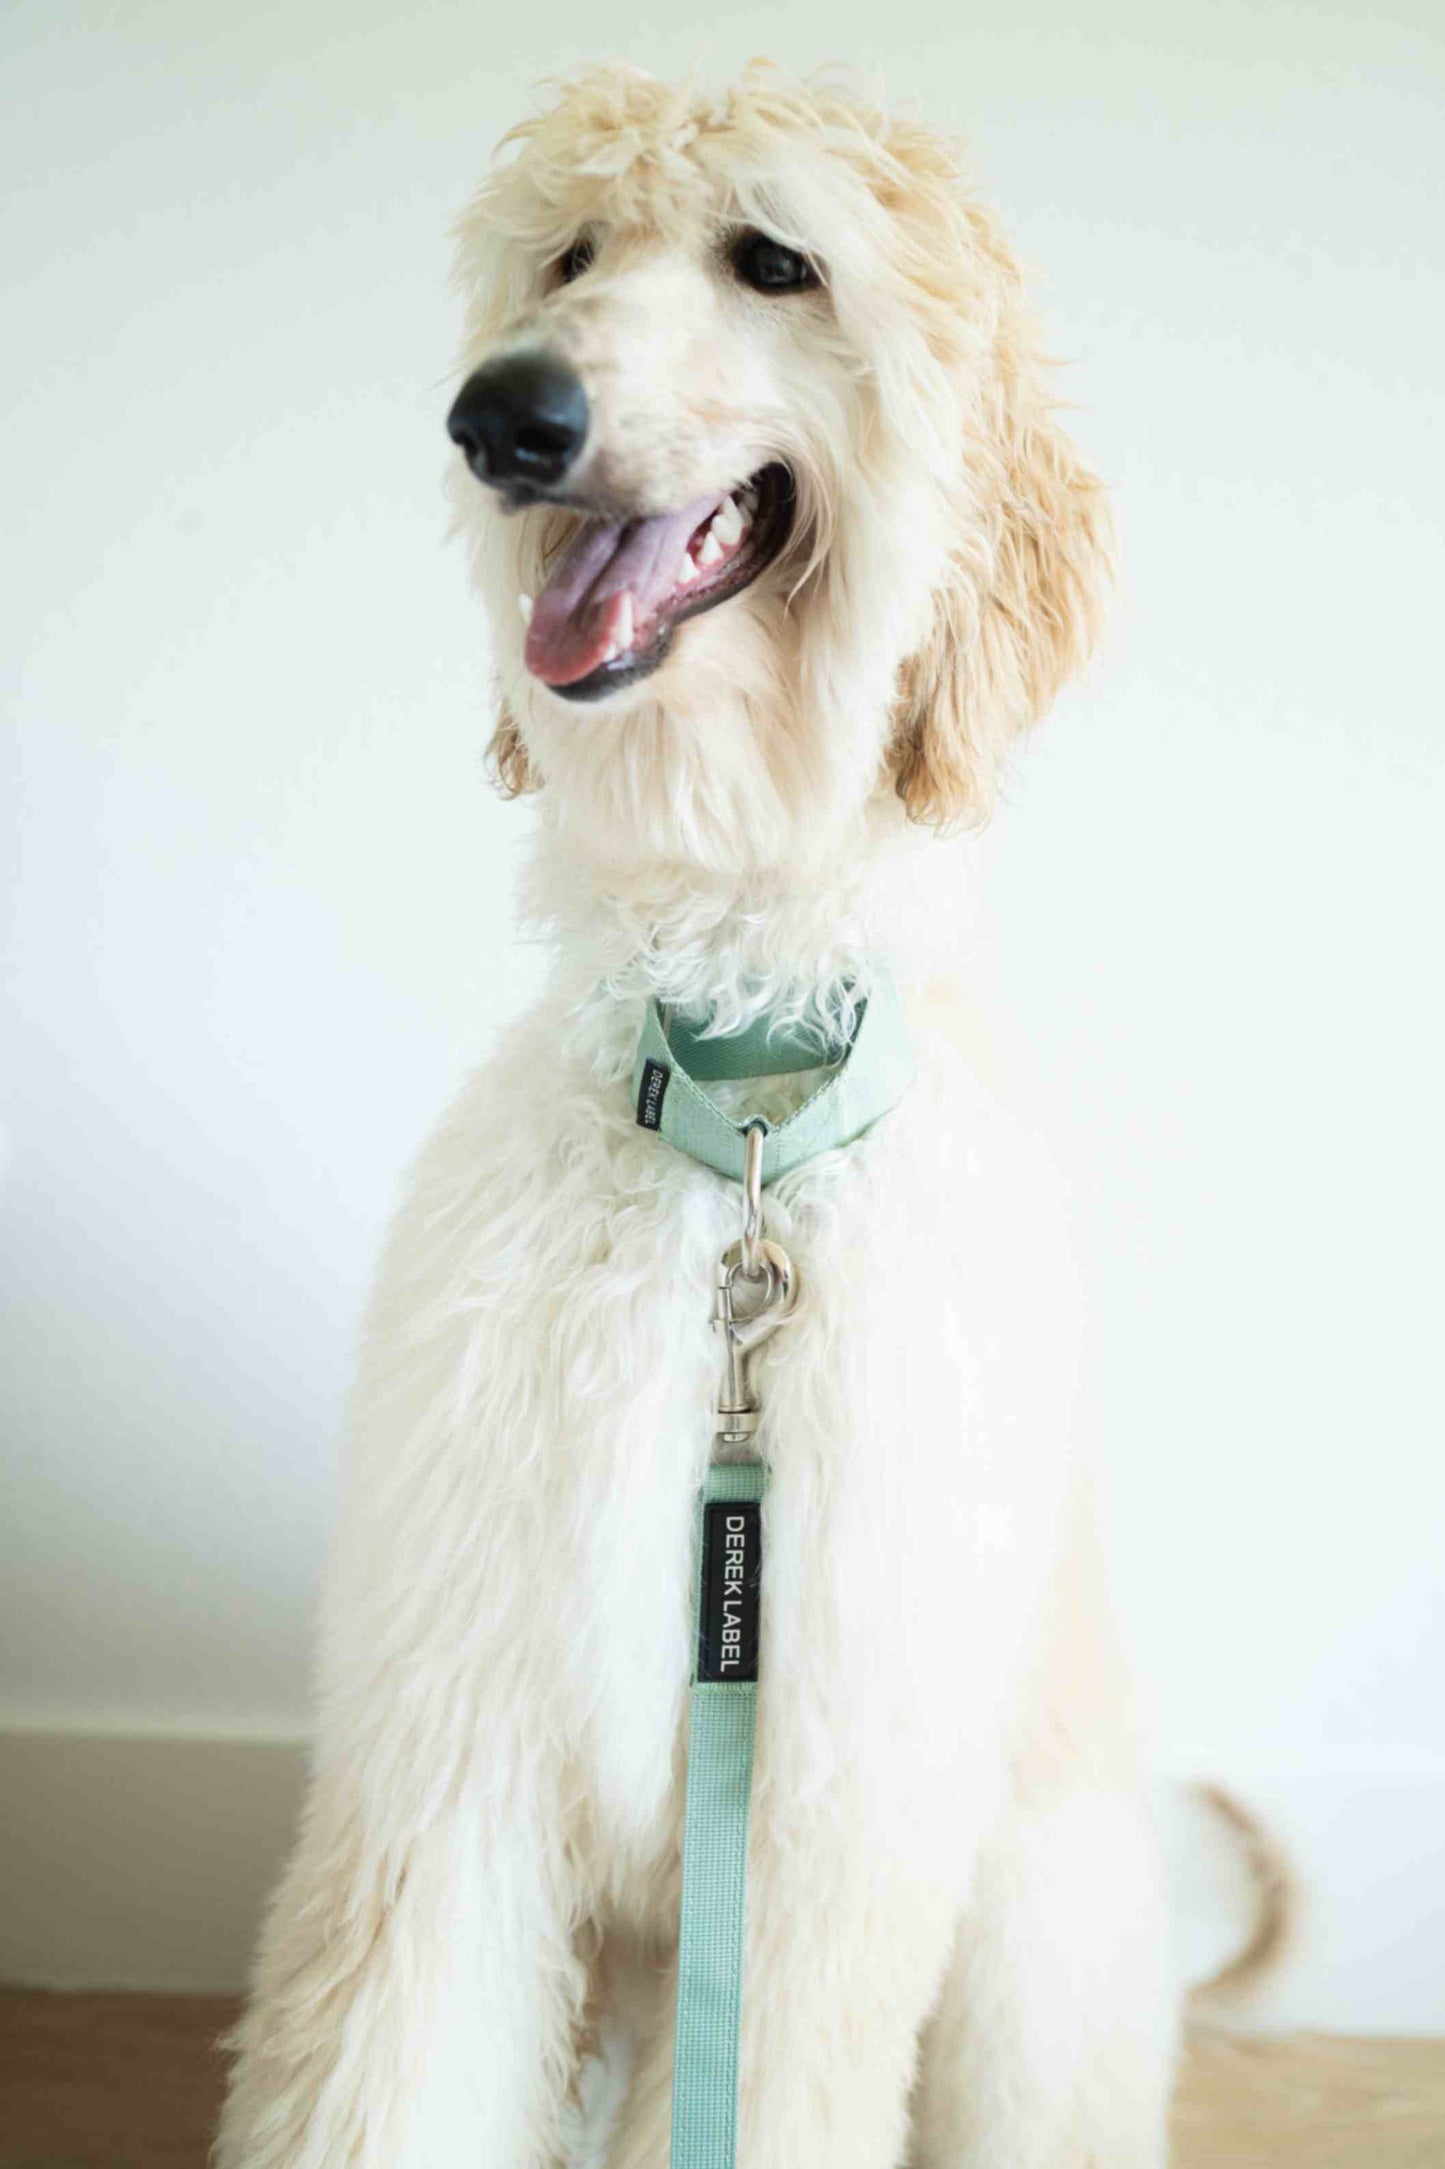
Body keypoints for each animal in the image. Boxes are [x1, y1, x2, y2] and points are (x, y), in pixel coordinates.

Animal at [213, 63, 1241, 2169]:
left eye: (778, 259)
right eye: (566, 255)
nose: (503, 417)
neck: (735, 1124)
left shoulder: (816, 1831)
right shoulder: (449, 1765)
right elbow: (392, 2061)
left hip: (1044, 1959)